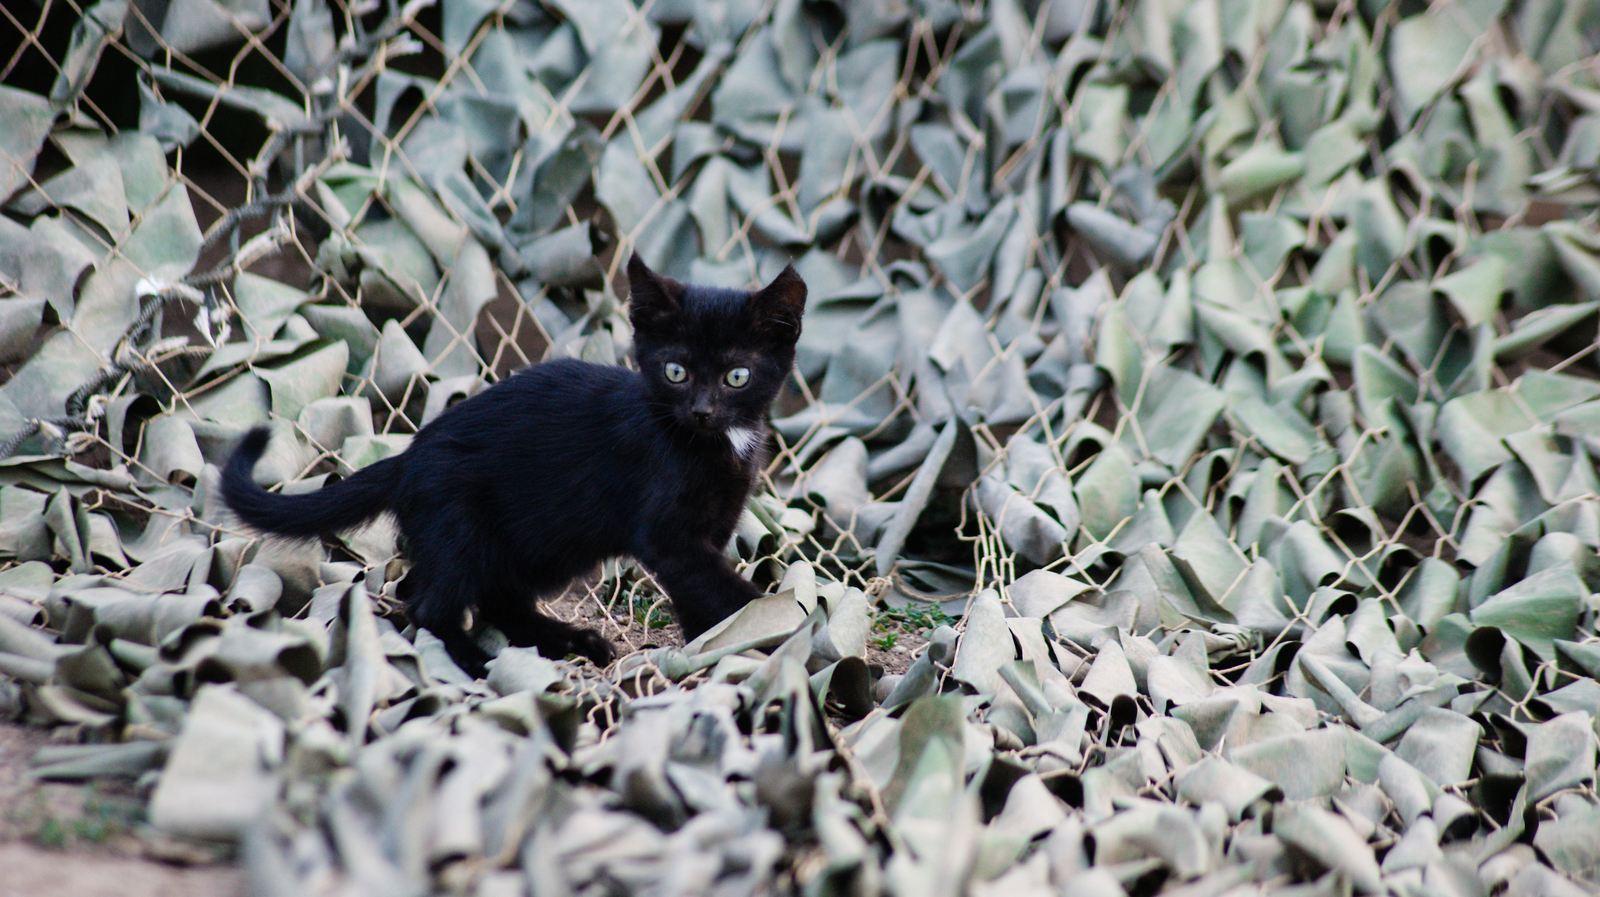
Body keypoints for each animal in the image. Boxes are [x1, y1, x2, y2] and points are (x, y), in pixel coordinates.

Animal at [219, 252, 806, 671]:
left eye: (737, 376)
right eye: (676, 372)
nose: (702, 410)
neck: (712, 443)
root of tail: (409, 456)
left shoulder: (708, 531)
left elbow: (699, 595)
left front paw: (709, 648)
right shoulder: (668, 535)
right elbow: (726, 591)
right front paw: (777, 624)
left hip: (537, 542)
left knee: (500, 599)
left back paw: (570, 642)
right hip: (462, 523)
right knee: (433, 606)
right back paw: (479, 663)